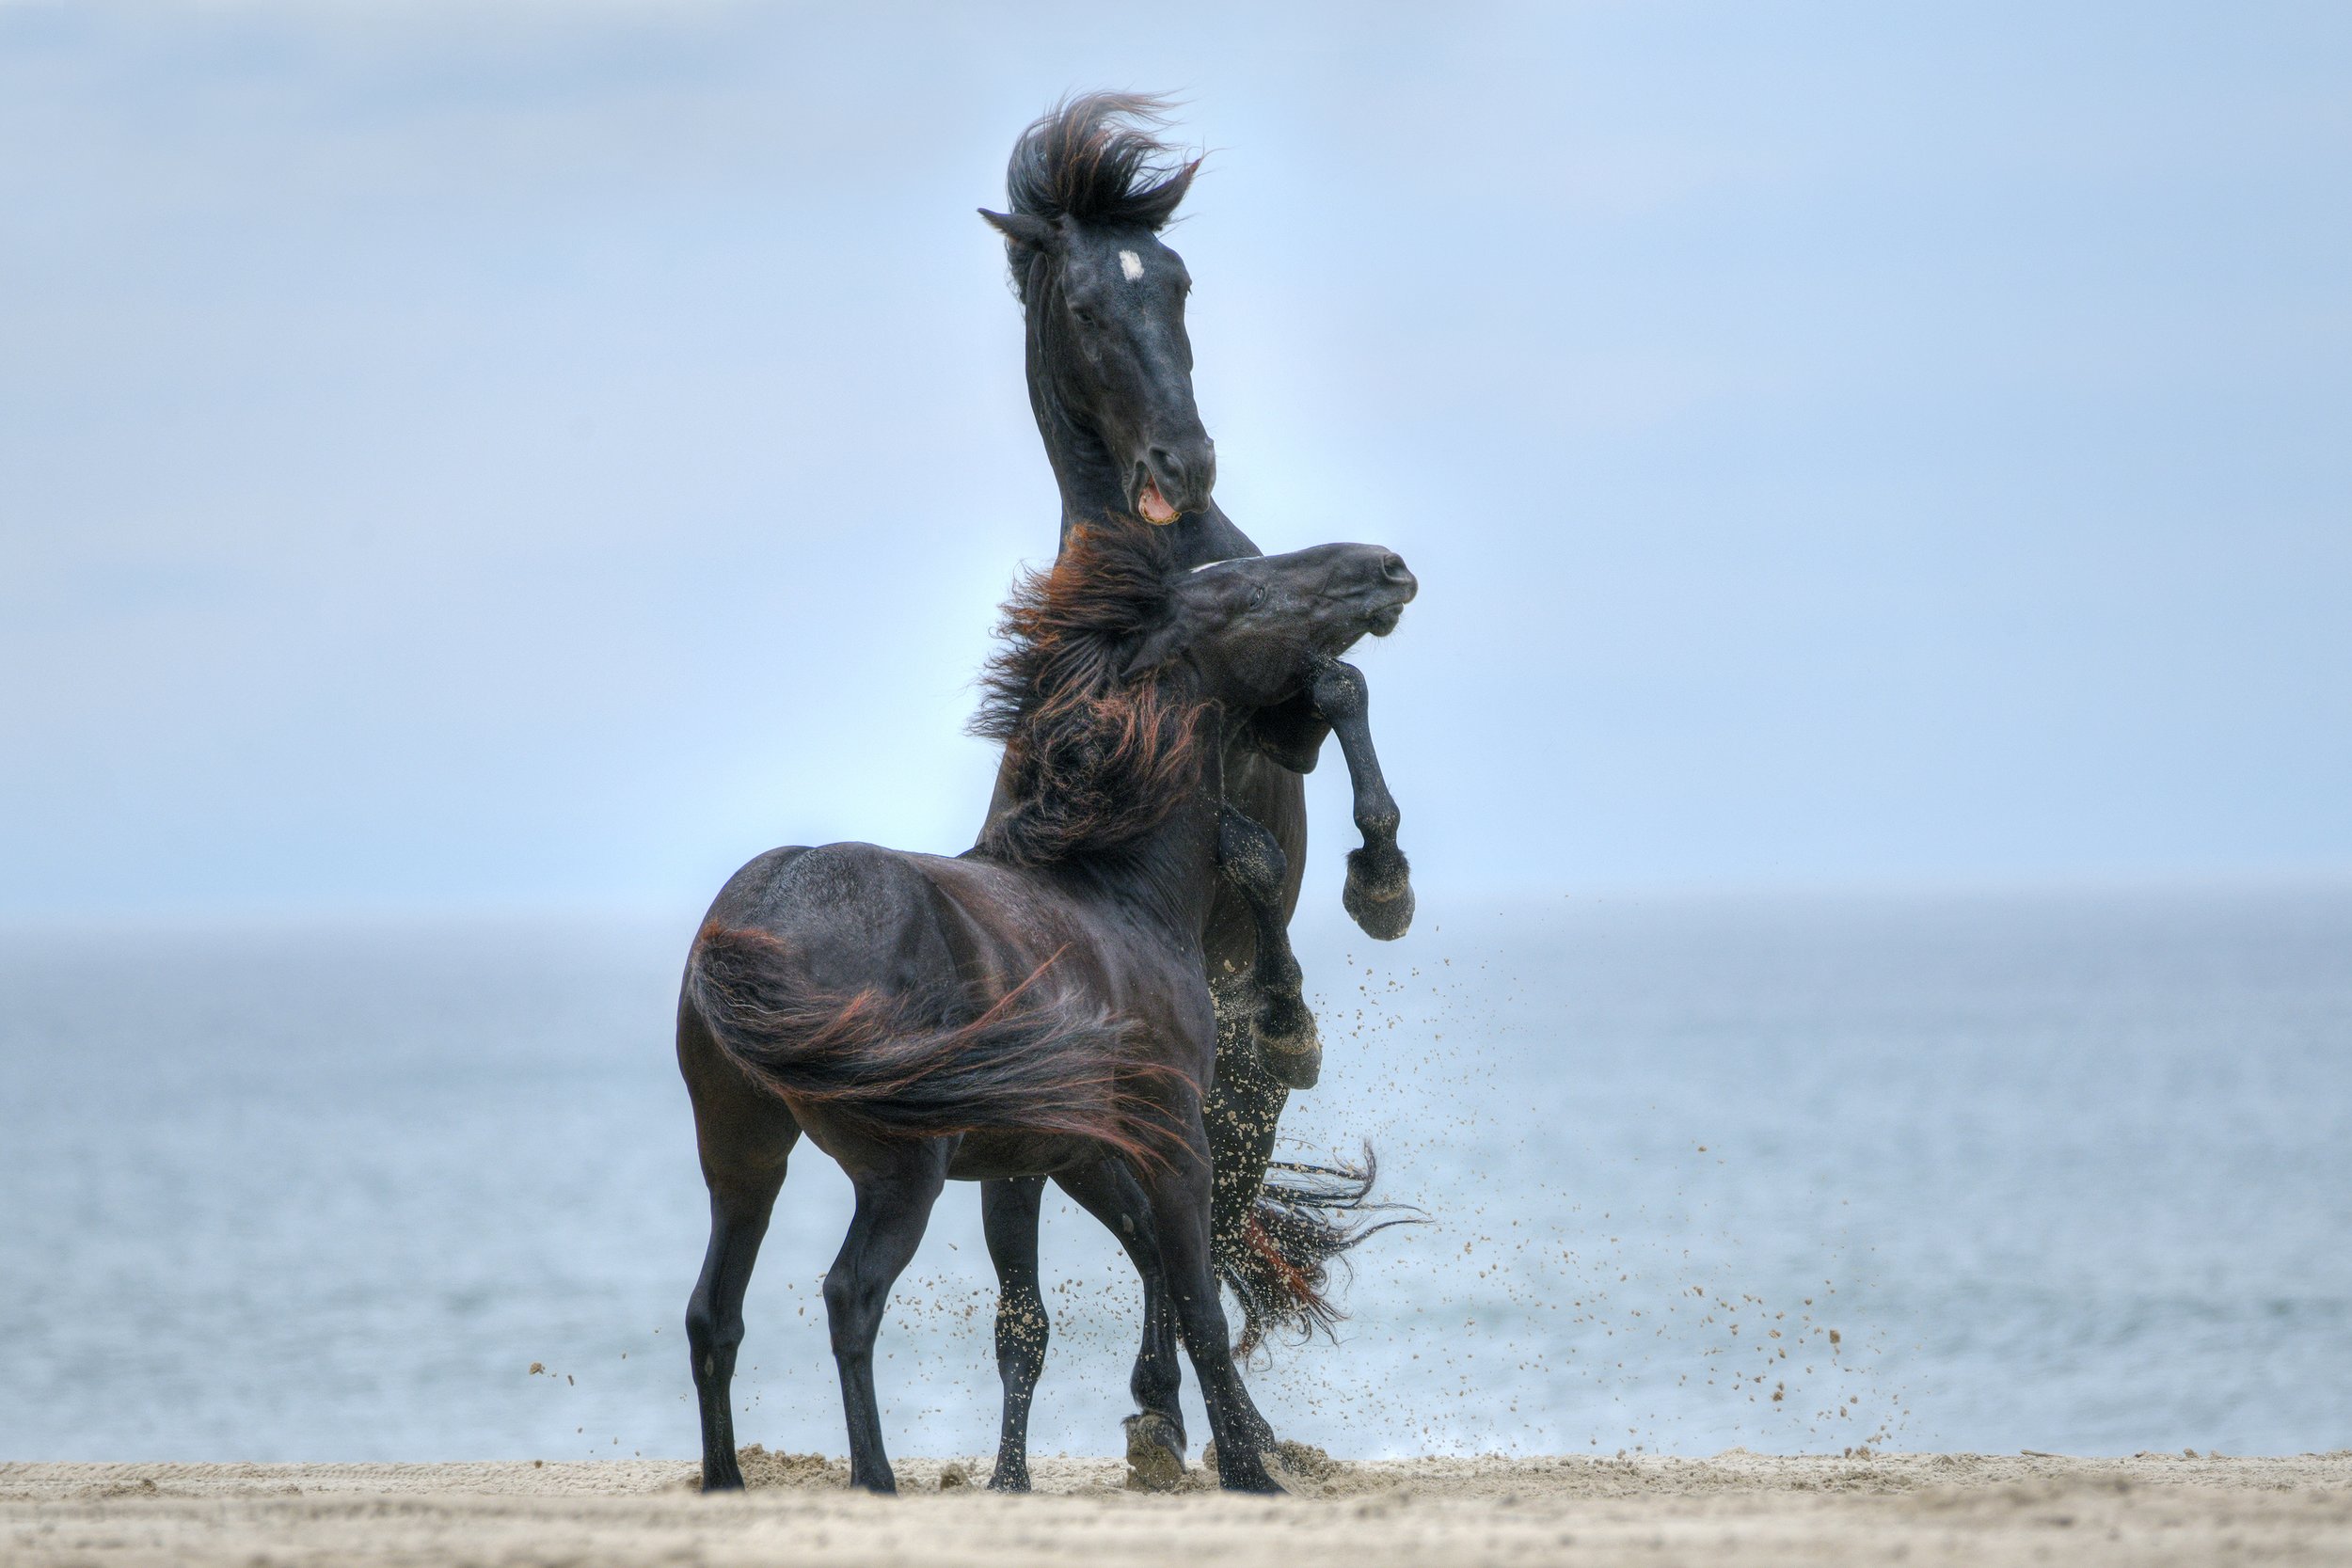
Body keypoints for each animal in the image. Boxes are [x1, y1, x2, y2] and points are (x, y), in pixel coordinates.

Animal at [680, 521, 1416, 1494]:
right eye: (1250, 594)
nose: (1387, 568)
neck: (1120, 893)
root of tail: (764, 908)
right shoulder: (1175, 1140)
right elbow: (1200, 1303)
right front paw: (1248, 1472)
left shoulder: (1064, 1151)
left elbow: (1103, 1292)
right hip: (899, 1171)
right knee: (850, 1297)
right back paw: (875, 1477)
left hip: (744, 1159)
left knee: (713, 1313)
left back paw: (726, 1479)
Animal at [973, 93, 1416, 1479]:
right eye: (1080, 303)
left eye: (1172, 282)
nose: (1186, 458)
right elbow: (1249, 847)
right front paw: (1298, 984)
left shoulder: (1286, 713)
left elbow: (1341, 692)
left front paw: (1381, 883)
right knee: (1166, 1244)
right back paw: (1167, 1418)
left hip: (1231, 1109)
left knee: (1201, 1228)